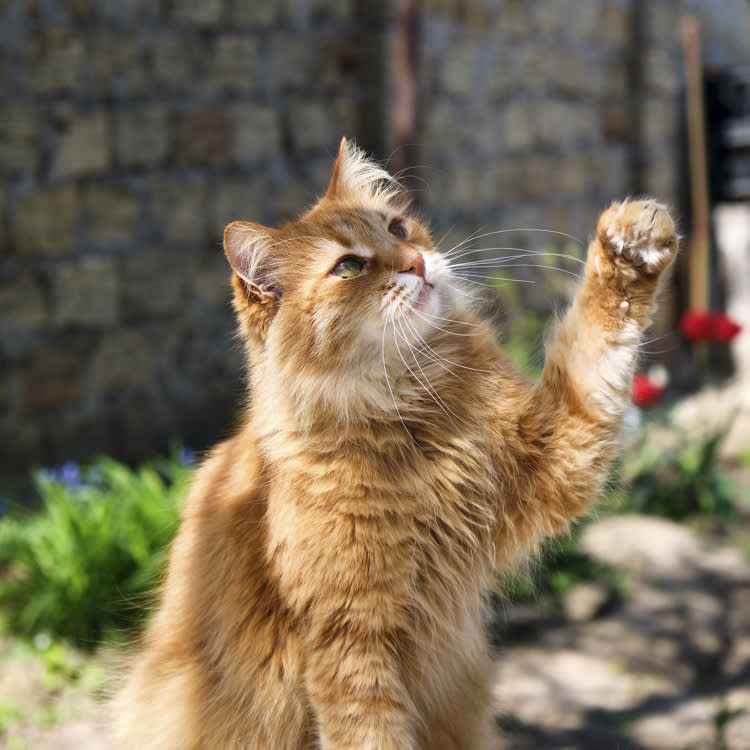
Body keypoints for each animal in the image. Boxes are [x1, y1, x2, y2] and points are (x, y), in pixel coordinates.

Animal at [113, 141, 680, 750]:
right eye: (348, 267)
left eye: (397, 228)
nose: (415, 263)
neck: (415, 419)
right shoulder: (350, 644)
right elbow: (372, 737)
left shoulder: (558, 450)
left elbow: (597, 339)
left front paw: (632, 245)